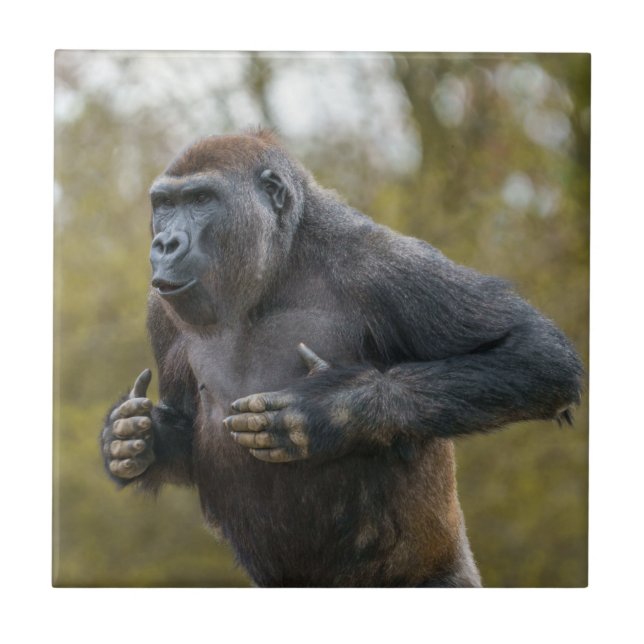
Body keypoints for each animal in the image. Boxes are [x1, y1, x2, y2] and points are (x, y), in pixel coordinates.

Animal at [101, 130, 583, 587]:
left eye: (201, 200)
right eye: (165, 204)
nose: (165, 243)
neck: (278, 265)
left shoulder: (385, 263)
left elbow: (536, 353)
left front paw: (328, 410)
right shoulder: (159, 311)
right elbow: (183, 430)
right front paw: (134, 436)